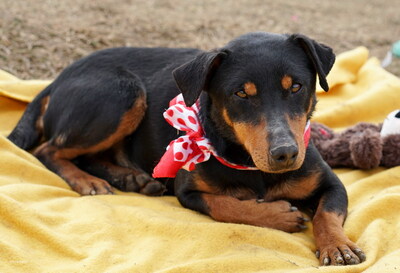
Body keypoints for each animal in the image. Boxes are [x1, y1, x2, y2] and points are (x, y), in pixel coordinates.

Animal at [8, 31, 366, 264]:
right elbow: (227, 205)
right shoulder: (188, 190)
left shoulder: (331, 183)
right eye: (241, 93)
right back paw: (88, 182)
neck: (251, 164)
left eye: (296, 87)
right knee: (48, 151)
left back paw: (128, 178)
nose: (285, 154)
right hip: (123, 91)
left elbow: (327, 214)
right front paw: (277, 214)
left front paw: (338, 246)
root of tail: (56, 80)